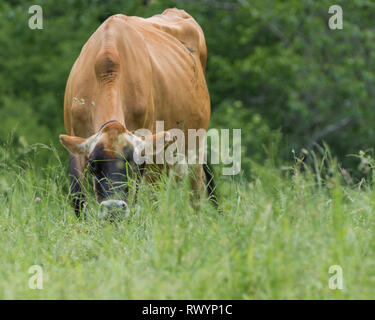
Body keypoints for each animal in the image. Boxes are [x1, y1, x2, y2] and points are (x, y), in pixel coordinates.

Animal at [59, 8, 217, 218]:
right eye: (93, 164)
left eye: (131, 164)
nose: (113, 208)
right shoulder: (76, 141)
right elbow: (78, 199)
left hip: (193, 149)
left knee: (194, 194)